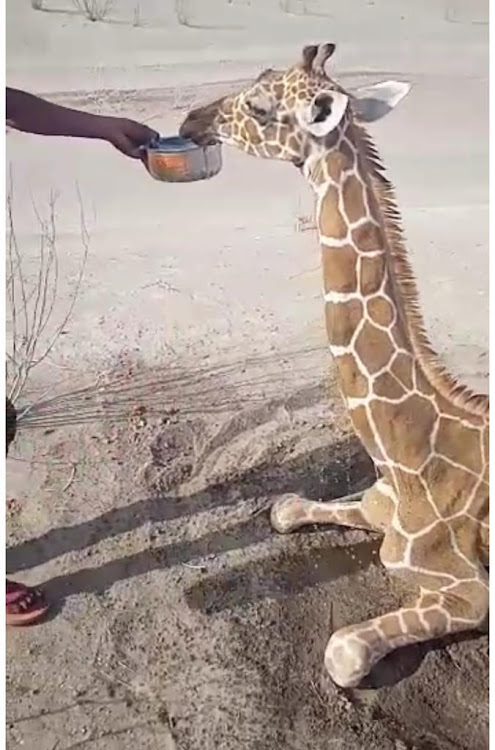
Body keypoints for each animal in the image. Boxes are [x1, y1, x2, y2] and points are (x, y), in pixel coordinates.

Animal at [180, 42, 490, 692]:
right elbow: (284, 508)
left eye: (260, 105)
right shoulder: (375, 507)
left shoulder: (471, 593)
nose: (191, 120)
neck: (406, 460)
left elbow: (342, 653)